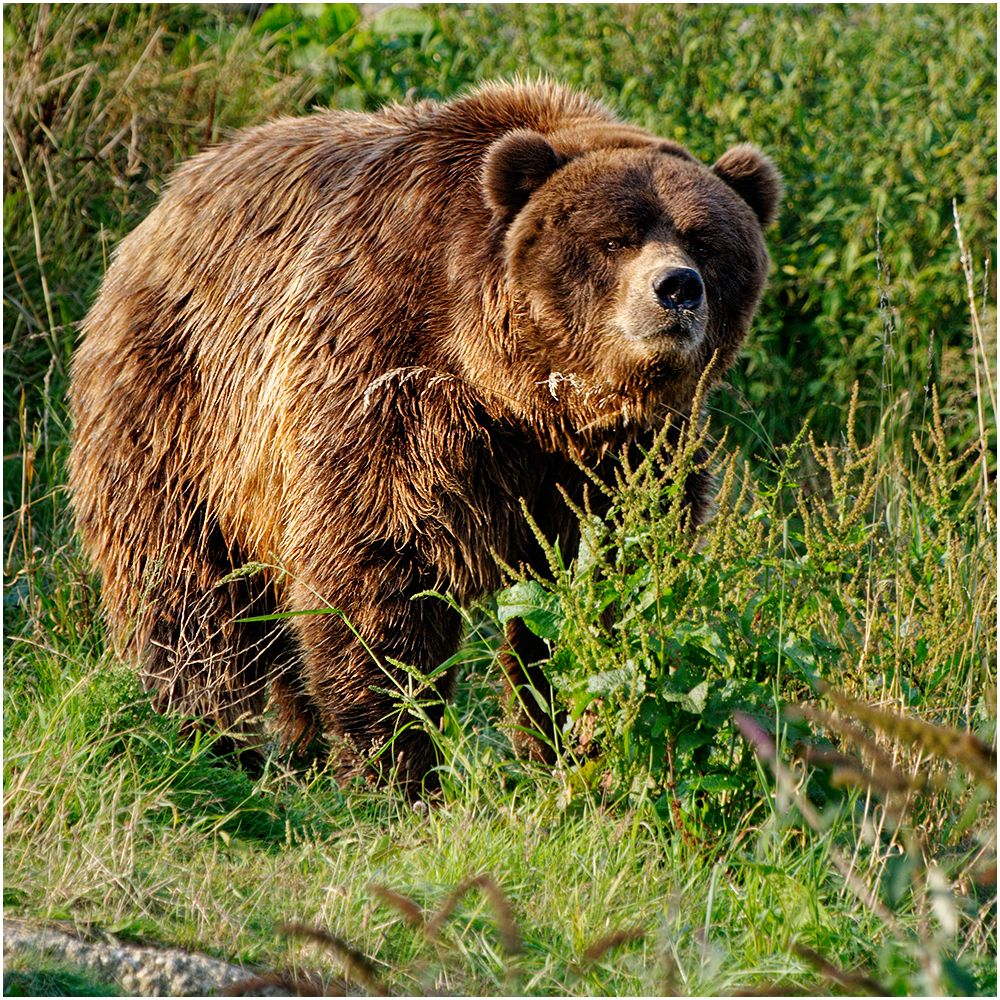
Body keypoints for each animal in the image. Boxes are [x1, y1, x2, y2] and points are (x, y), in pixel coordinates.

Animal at [70, 80, 784, 788]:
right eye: (615, 240)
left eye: (705, 242)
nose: (677, 288)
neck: (524, 393)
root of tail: (172, 195)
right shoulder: (390, 384)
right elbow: (376, 572)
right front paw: (397, 763)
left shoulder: (624, 455)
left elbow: (609, 576)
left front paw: (567, 742)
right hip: (181, 408)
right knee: (187, 592)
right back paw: (211, 739)